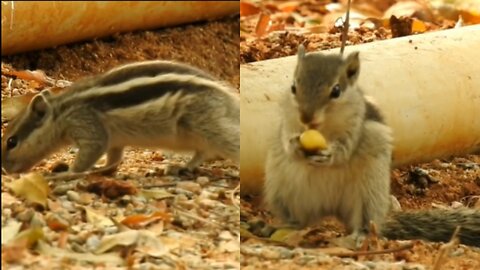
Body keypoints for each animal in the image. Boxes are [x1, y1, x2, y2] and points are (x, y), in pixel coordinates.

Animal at [0, 59, 240, 175]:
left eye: (12, 142)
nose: (5, 170)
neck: (61, 111)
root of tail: (229, 99)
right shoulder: (115, 142)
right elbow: (113, 159)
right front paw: (102, 169)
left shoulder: (87, 126)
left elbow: (88, 155)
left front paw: (66, 173)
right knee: (203, 152)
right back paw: (183, 167)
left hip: (207, 125)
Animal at [262, 45, 480, 248]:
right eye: (293, 87)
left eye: (336, 90)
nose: (306, 117)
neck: (323, 128)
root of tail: (329, 209)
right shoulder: (287, 121)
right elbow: (285, 137)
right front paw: (294, 146)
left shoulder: (356, 127)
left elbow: (346, 149)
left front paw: (329, 155)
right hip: (282, 193)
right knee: (300, 221)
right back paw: (279, 227)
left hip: (369, 194)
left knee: (366, 222)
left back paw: (360, 236)